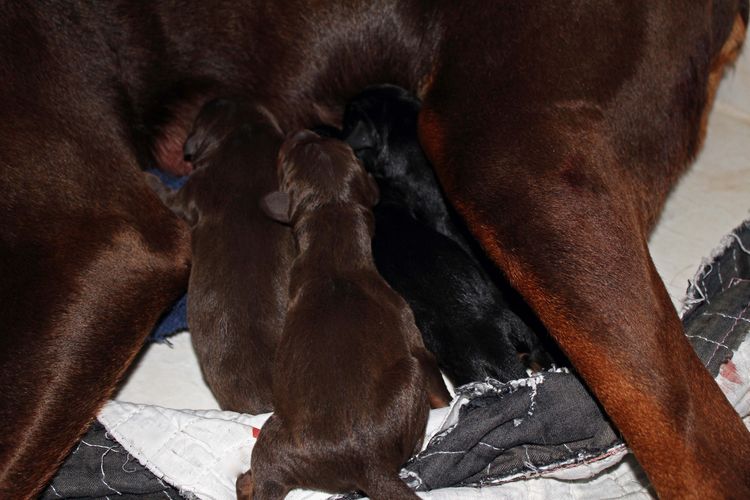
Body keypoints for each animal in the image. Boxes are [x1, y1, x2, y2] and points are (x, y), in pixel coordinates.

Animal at [241, 130, 450, 500]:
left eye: (322, 142)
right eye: (287, 153)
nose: (302, 132)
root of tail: (368, 463)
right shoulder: (415, 340)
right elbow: (439, 388)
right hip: (408, 376)